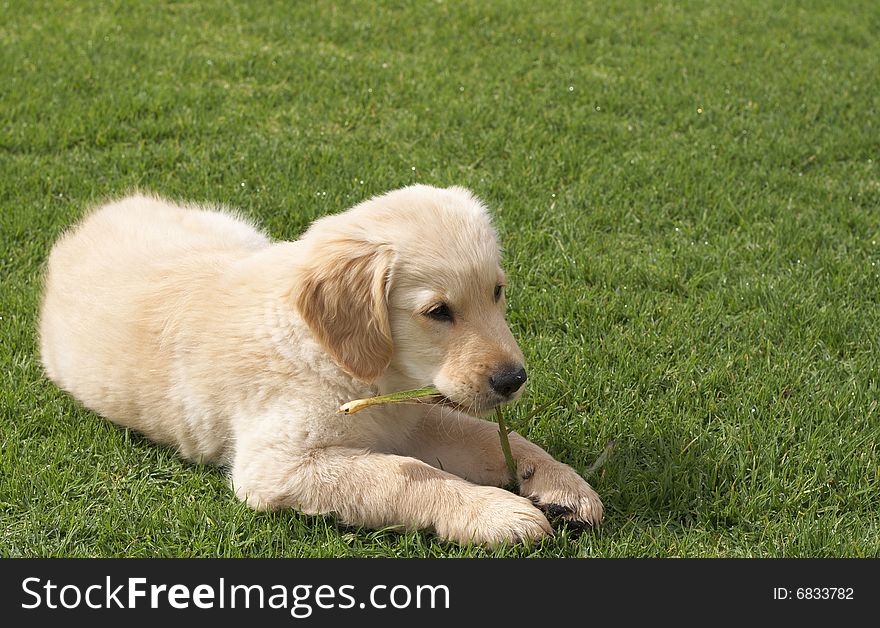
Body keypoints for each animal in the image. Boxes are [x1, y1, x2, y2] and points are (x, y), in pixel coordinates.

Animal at [37, 185, 600, 544]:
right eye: (438, 312)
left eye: (497, 292)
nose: (513, 380)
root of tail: (99, 214)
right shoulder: (275, 465)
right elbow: (406, 475)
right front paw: (496, 513)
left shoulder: (410, 415)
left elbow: (490, 437)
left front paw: (561, 484)